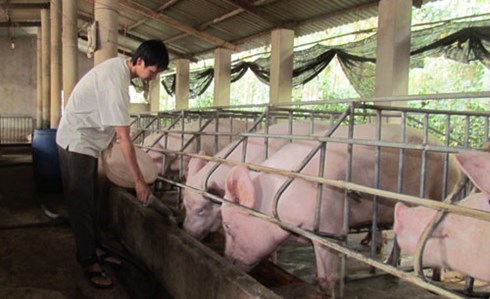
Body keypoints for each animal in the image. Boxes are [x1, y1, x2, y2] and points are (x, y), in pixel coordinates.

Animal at [222, 123, 460, 296]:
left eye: (228, 226)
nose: (227, 259)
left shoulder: (330, 226)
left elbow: (327, 278)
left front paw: (324, 290)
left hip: (443, 193)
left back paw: (434, 279)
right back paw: (390, 267)